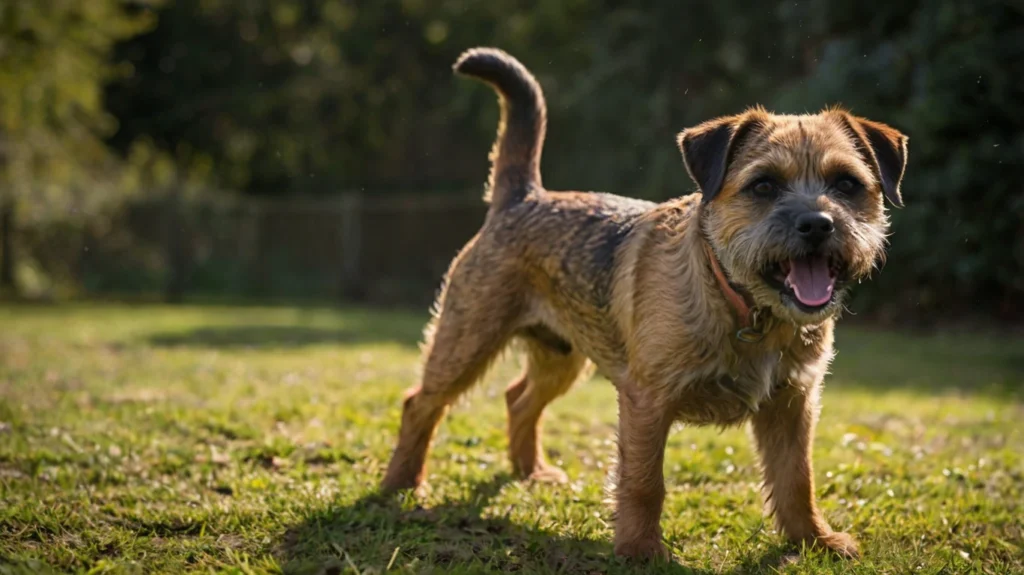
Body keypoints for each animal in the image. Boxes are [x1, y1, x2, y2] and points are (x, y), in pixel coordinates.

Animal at [380, 48, 909, 560]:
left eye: (845, 184)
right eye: (764, 185)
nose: (818, 223)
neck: (742, 306)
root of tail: (523, 197)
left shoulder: (793, 404)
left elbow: (797, 480)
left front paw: (814, 541)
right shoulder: (647, 401)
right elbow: (643, 482)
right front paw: (639, 550)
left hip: (562, 356)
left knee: (518, 398)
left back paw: (530, 472)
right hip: (467, 341)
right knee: (420, 403)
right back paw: (401, 484)